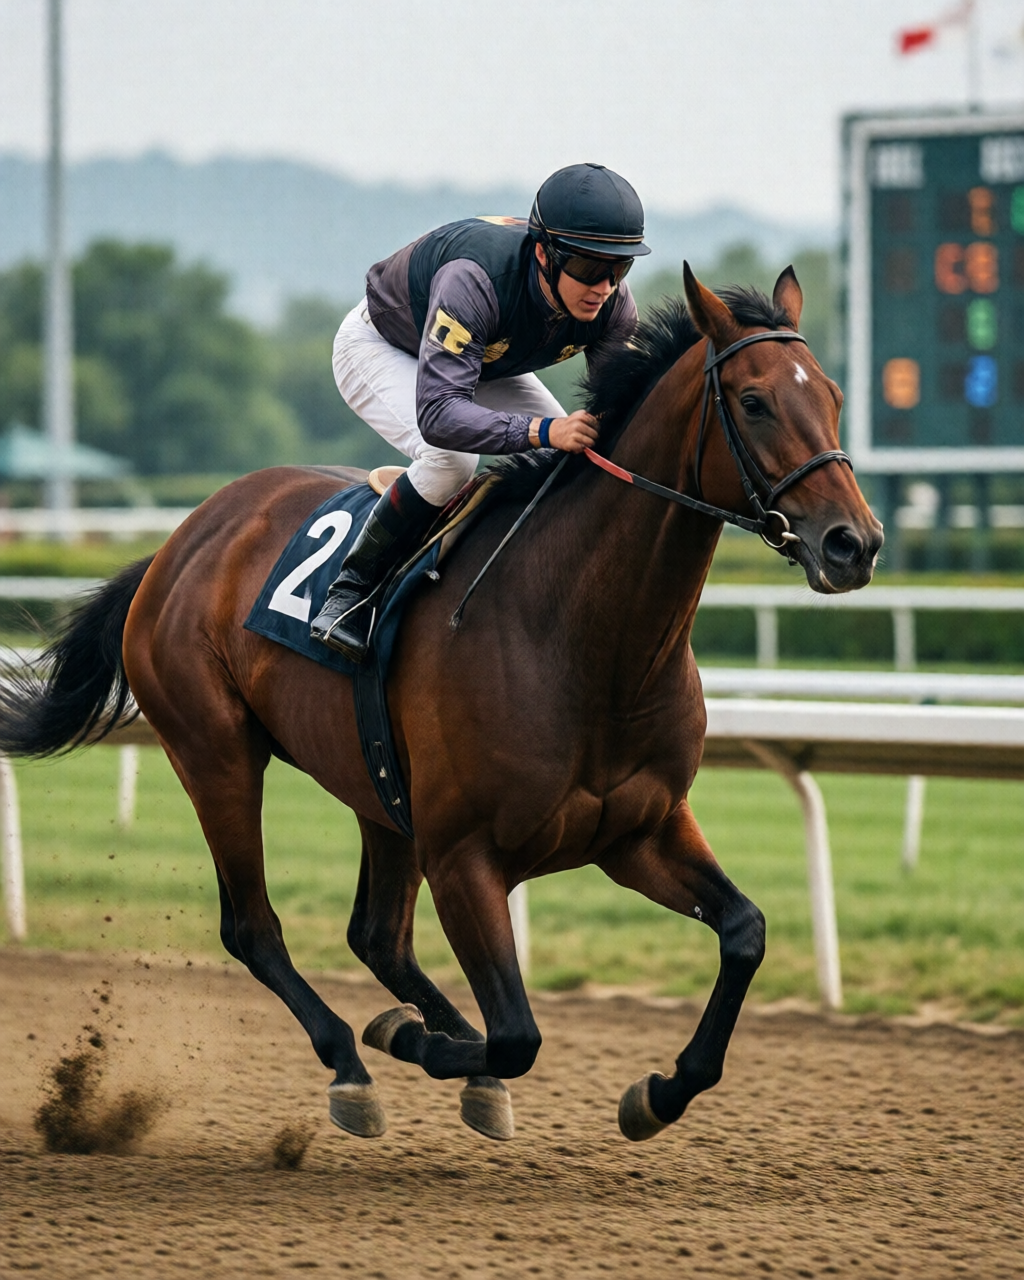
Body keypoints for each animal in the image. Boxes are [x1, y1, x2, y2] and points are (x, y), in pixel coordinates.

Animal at [0, 265, 882, 1144]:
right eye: (754, 401)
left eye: (834, 394)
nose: (855, 543)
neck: (587, 642)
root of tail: (176, 544)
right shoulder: (464, 856)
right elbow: (518, 1033)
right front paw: (410, 1040)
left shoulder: (640, 830)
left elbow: (744, 932)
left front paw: (657, 1092)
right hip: (215, 752)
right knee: (254, 926)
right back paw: (354, 1064)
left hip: (378, 788)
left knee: (376, 936)